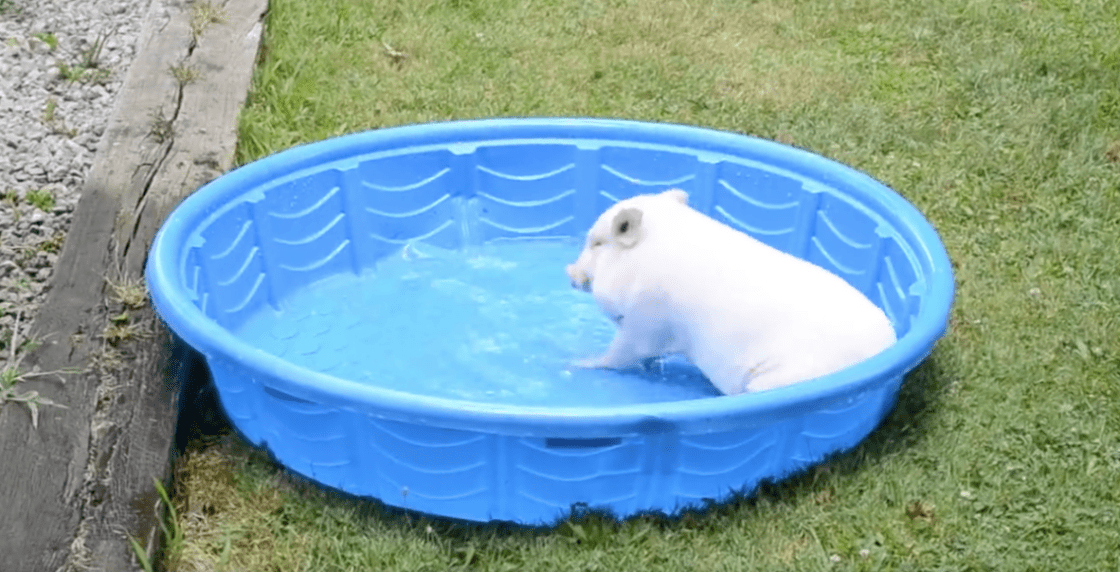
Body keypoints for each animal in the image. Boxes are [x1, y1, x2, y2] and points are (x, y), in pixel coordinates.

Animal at [565, 188, 897, 395]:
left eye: (597, 243)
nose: (569, 272)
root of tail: (884, 350)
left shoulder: (648, 318)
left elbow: (621, 353)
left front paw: (578, 363)